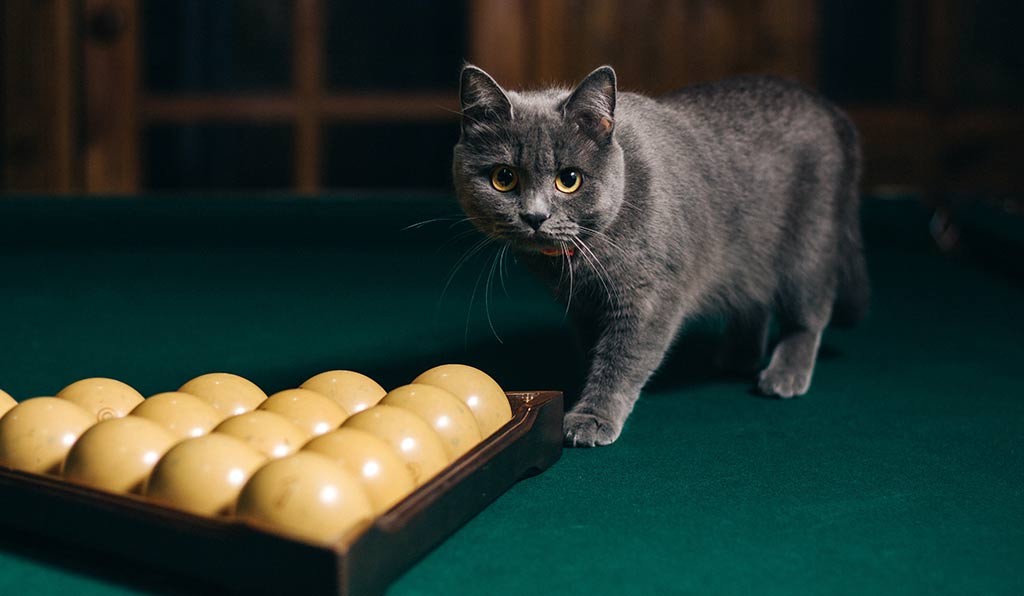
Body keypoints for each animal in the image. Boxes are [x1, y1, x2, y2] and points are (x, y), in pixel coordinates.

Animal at [452, 65, 868, 448]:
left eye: (569, 180)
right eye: (504, 178)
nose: (535, 216)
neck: (580, 260)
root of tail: (827, 107)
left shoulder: (648, 296)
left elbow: (621, 358)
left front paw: (593, 417)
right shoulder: (583, 305)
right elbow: (594, 348)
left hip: (809, 245)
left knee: (808, 315)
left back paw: (785, 374)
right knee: (753, 301)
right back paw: (739, 354)